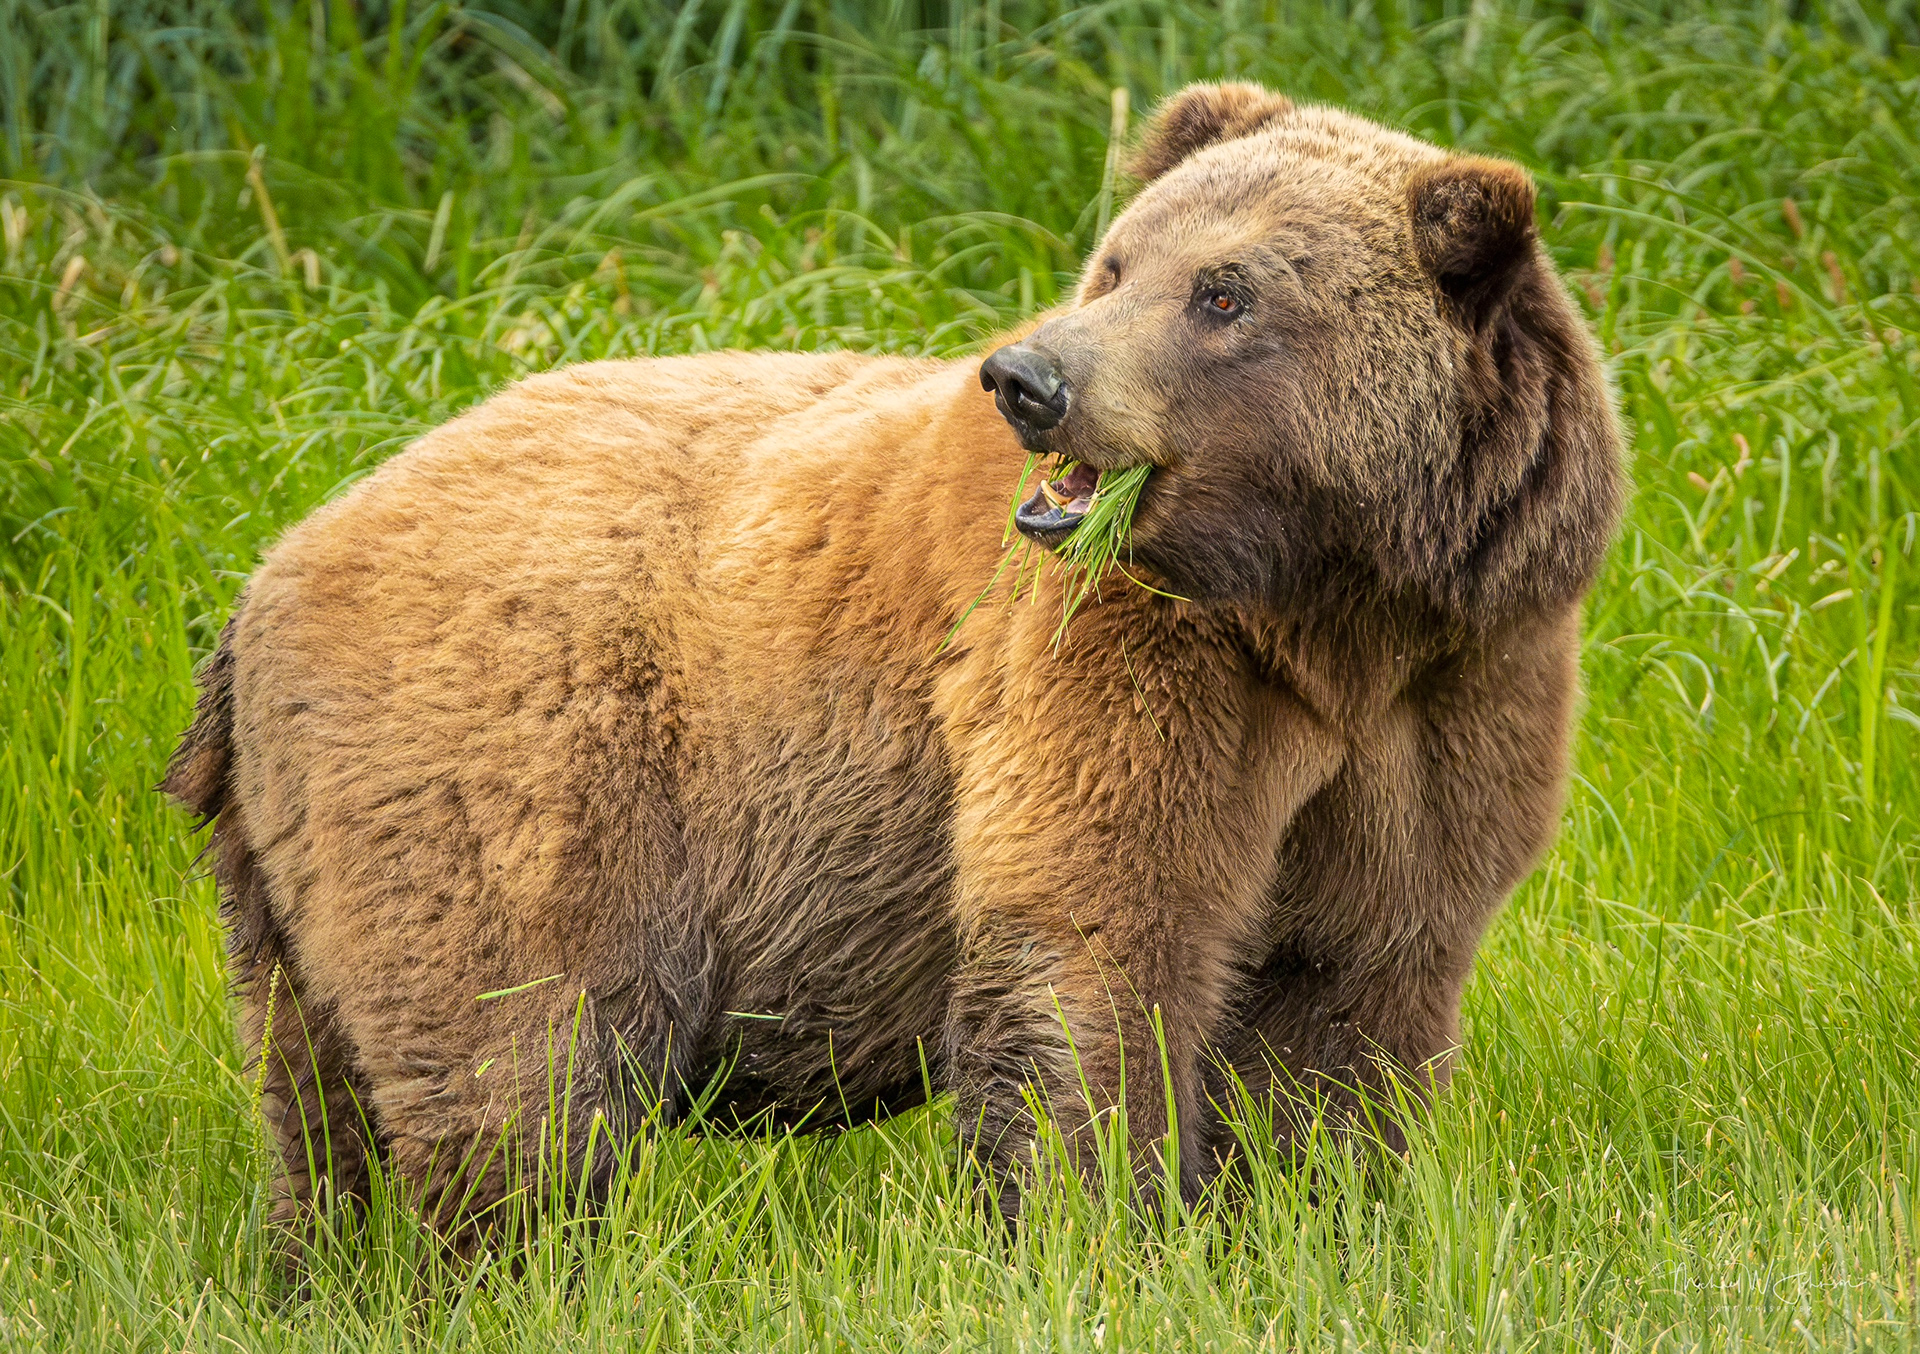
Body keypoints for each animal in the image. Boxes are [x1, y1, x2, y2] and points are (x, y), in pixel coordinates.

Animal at [165, 82, 1624, 1236]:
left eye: (1226, 291)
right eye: (1117, 263)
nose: (1029, 379)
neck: (1327, 609)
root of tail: (264, 580)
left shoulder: (1460, 688)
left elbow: (1356, 986)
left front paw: (1319, 1213)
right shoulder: (1124, 657)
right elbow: (1095, 935)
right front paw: (1097, 1223)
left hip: (287, 871)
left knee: (317, 1101)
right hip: (514, 768)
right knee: (520, 1055)